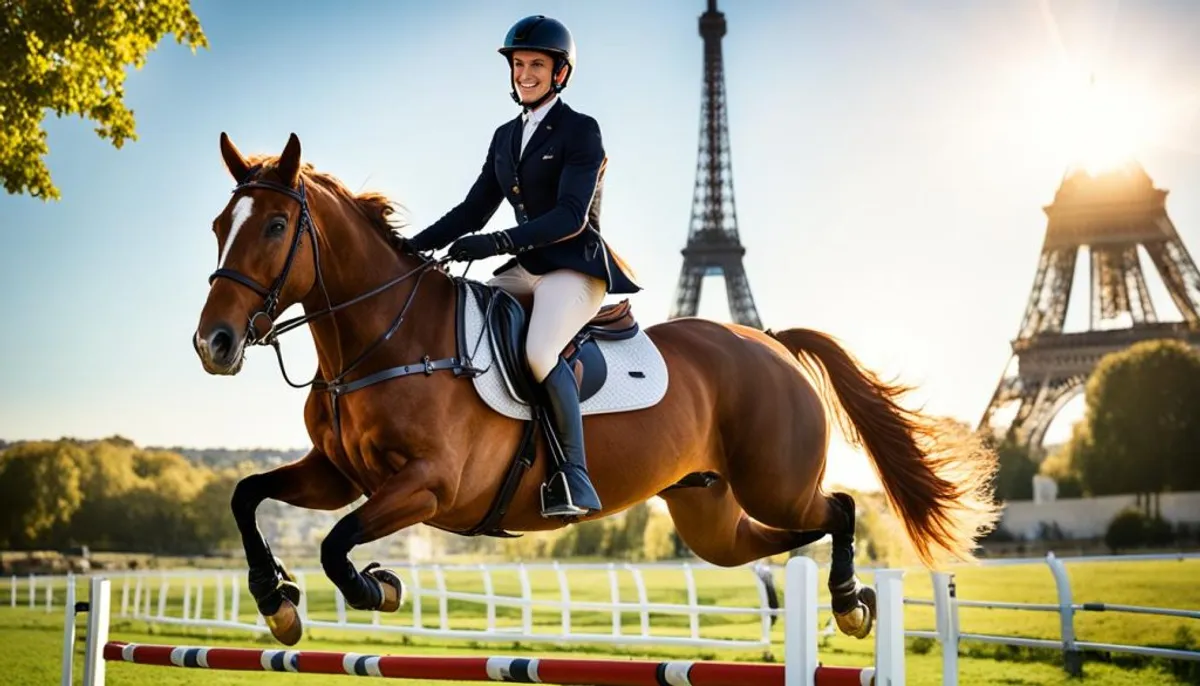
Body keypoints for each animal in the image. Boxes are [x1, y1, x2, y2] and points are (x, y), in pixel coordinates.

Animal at [194, 132, 1003, 647]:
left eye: (275, 225)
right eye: (217, 225)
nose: (214, 344)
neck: (381, 340)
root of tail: (769, 342)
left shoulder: (429, 486)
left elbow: (336, 544)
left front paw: (376, 587)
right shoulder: (338, 474)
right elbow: (246, 495)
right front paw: (276, 601)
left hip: (774, 482)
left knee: (837, 507)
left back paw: (849, 603)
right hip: (713, 517)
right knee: (790, 534)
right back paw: (851, 598)